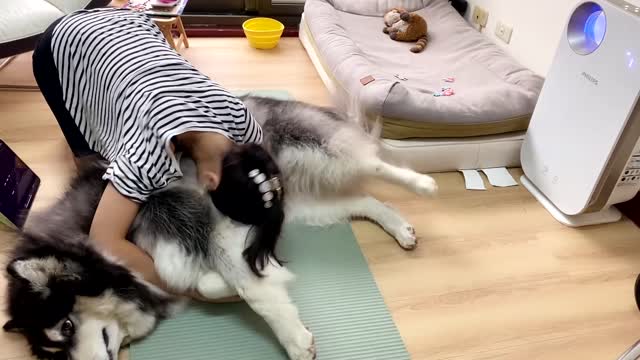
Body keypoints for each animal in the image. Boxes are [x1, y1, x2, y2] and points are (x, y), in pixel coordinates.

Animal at [2, 94, 438, 358]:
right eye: (54, 353)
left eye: (67, 326)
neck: (102, 254)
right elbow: (213, 281)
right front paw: (258, 279)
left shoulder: (205, 222)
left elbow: (243, 286)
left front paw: (293, 338)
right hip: (305, 205)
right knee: (364, 200)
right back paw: (400, 227)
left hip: (319, 155)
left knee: (374, 163)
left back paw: (422, 184)